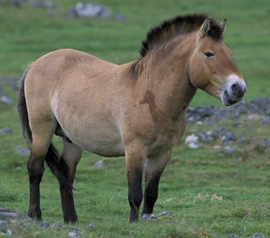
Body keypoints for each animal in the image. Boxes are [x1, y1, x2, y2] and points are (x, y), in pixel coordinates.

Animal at [16, 13, 245, 223]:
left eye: (229, 53)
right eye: (209, 53)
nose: (238, 88)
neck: (153, 96)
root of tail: (34, 64)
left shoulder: (162, 154)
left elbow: (151, 193)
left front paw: (148, 220)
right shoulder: (135, 150)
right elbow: (135, 194)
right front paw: (134, 224)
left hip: (71, 140)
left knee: (66, 174)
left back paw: (71, 219)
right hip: (42, 130)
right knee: (35, 169)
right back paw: (35, 215)